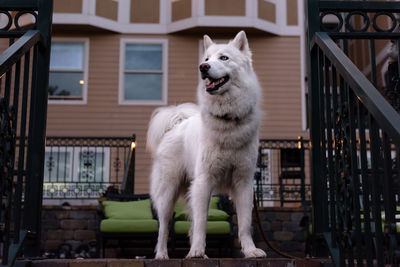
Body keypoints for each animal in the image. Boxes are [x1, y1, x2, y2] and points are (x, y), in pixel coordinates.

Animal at [147, 30, 266, 260]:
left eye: (224, 58)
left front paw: (249, 250)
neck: (227, 119)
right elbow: (202, 222)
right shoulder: (204, 181)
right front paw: (196, 253)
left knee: (191, 224)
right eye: (206, 59)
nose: (203, 67)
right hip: (168, 192)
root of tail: (177, 122)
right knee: (164, 227)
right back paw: (162, 255)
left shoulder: (243, 183)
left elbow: (245, 223)